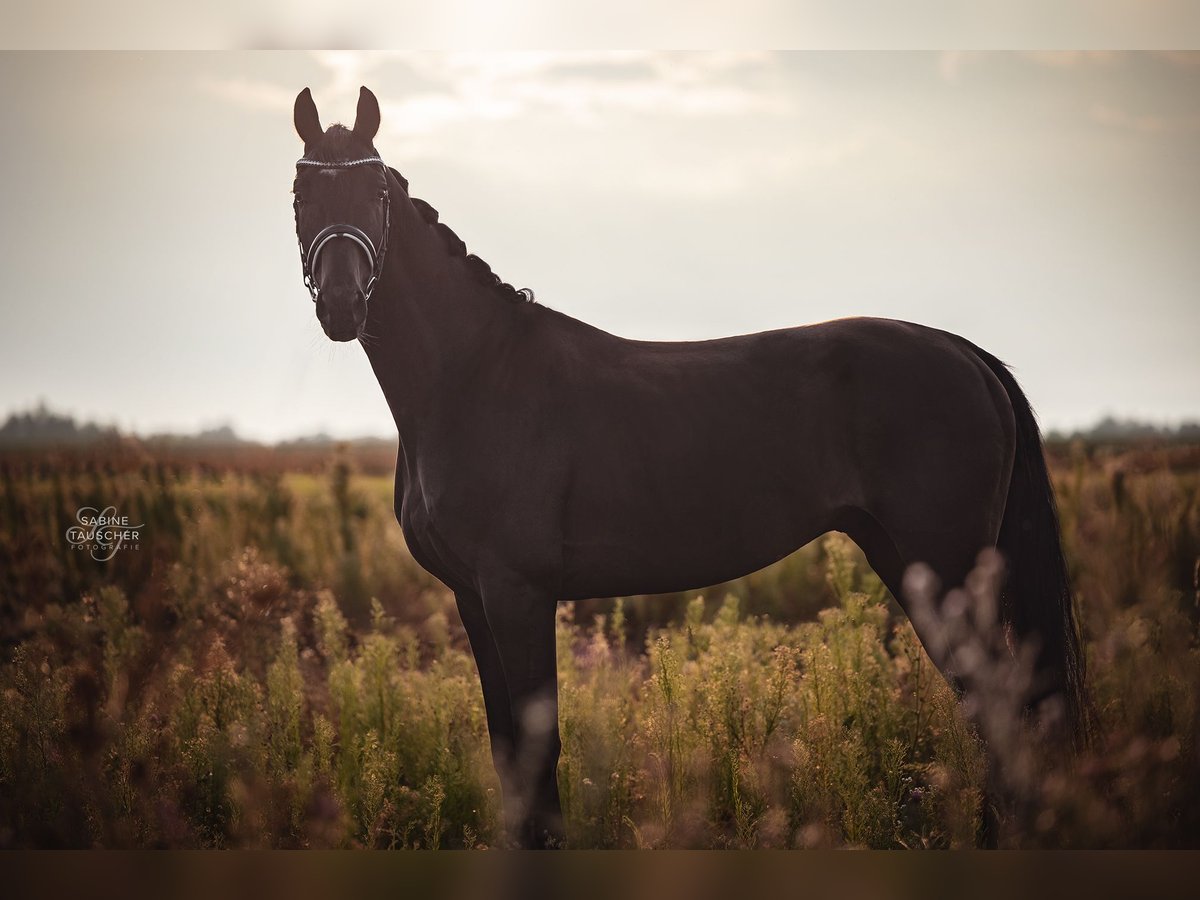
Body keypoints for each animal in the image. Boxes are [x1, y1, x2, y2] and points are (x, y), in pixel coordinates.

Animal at [288, 88, 1089, 849]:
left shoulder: (518, 592)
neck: (475, 375)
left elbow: (539, 755)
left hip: (946, 569)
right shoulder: (472, 597)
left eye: (377, 192)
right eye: (300, 194)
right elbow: (508, 753)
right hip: (908, 562)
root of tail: (966, 354)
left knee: (1000, 708)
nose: (341, 305)